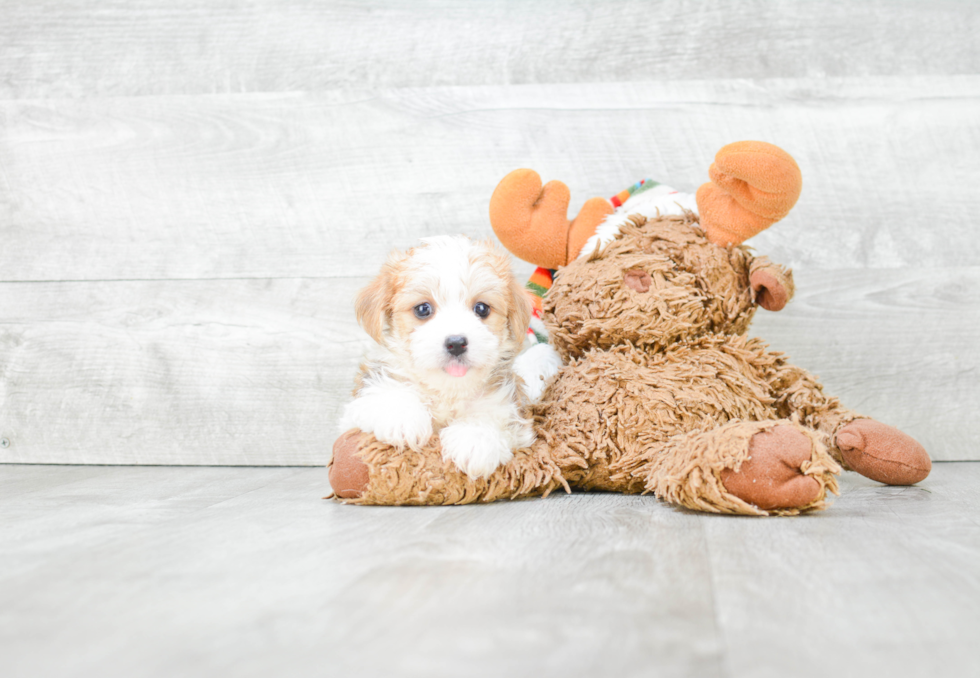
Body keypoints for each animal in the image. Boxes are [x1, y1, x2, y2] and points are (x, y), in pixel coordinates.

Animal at [338, 236, 536, 480]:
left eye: (481, 309)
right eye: (423, 309)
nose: (456, 343)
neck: (447, 391)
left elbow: (490, 415)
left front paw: (475, 440)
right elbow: (389, 391)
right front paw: (401, 416)